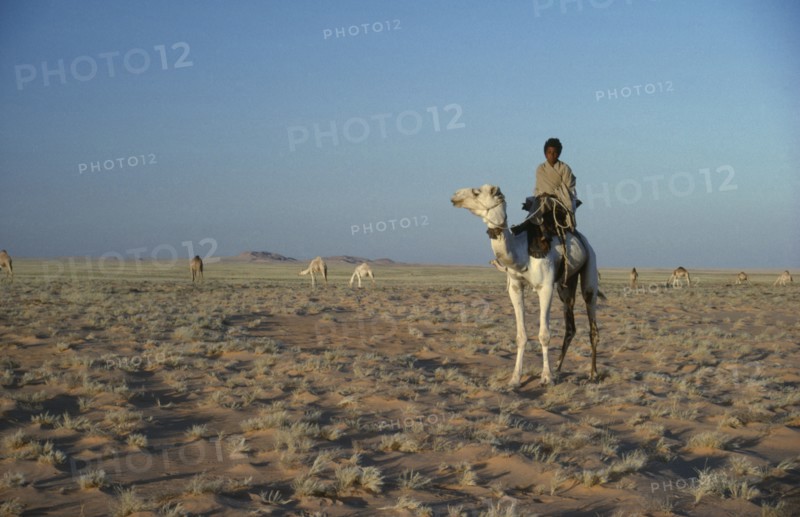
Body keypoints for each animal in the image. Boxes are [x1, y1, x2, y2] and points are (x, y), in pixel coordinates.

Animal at [451, 184, 601, 387]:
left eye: (477, 192)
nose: (455, 196)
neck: (521, 252)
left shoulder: (545, 287)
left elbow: (544, 334)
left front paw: (546, 377)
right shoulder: (515, 287)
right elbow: (521, 336)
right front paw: (515, 378)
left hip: (590, 264)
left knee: (591, 313)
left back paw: (593, 374)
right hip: (566, 284)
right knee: (570, 325)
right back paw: (558, 368)